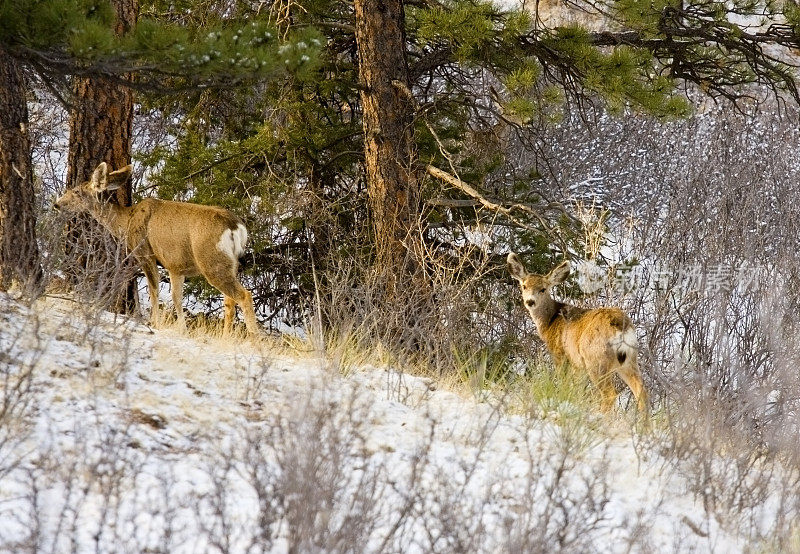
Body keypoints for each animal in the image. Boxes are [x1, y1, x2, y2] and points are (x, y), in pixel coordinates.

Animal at [55, 160, 260, 332]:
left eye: (77, 192)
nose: (57, 204)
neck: (127, 221)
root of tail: (236, 227)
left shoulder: (145, 253)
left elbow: (154, 291)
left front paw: (156, 324)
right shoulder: (176, 266)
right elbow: (176, 297)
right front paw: (181, 329)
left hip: (211, 260)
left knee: (244, 295)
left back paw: (255, 340)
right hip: (229, 264)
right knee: (230, 301)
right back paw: (227, 337)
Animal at [510, 252, 648, 412]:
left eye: (543, 289)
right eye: (524, 286)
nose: (530, 302)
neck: (551, 320)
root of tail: (621, 327)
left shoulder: (560, 354)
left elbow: (564, 383)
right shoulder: (578, 365)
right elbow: (576, 388)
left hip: (595, 358)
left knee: (610, 394)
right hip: (629, 359)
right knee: (641, 392)